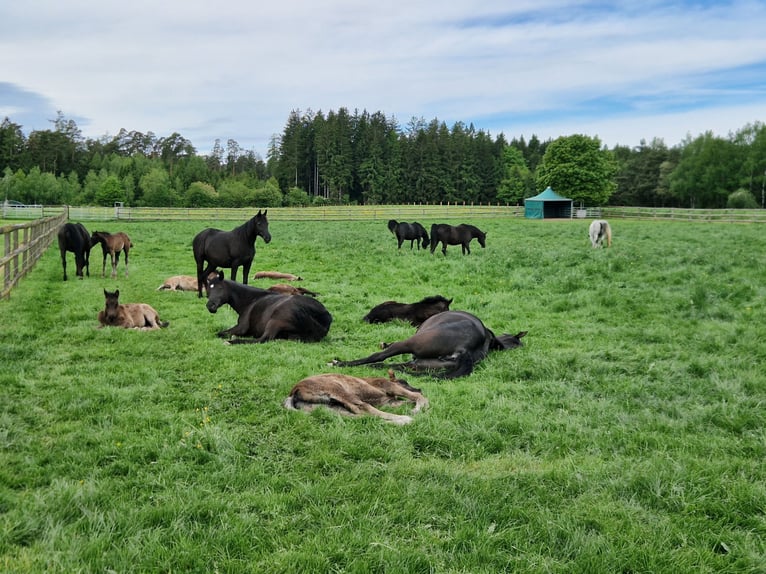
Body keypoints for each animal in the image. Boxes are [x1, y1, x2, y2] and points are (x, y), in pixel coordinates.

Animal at [284, 369, 429, 425]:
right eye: (404, 382)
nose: (419, 388)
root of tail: (294, 391)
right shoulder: (388, 386)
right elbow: (418, 397)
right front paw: (417, 409)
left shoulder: (388, 403)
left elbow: (409, 401)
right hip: (339, 390)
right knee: (363, 408)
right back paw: (405, 419)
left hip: (329, 408)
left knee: (359, 416)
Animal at [333, 310, 526, 379]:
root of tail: (465, 351)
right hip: (419, 364)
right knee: (390, 365)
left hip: (410, 343)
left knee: (379, 357)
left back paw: (339, 363)